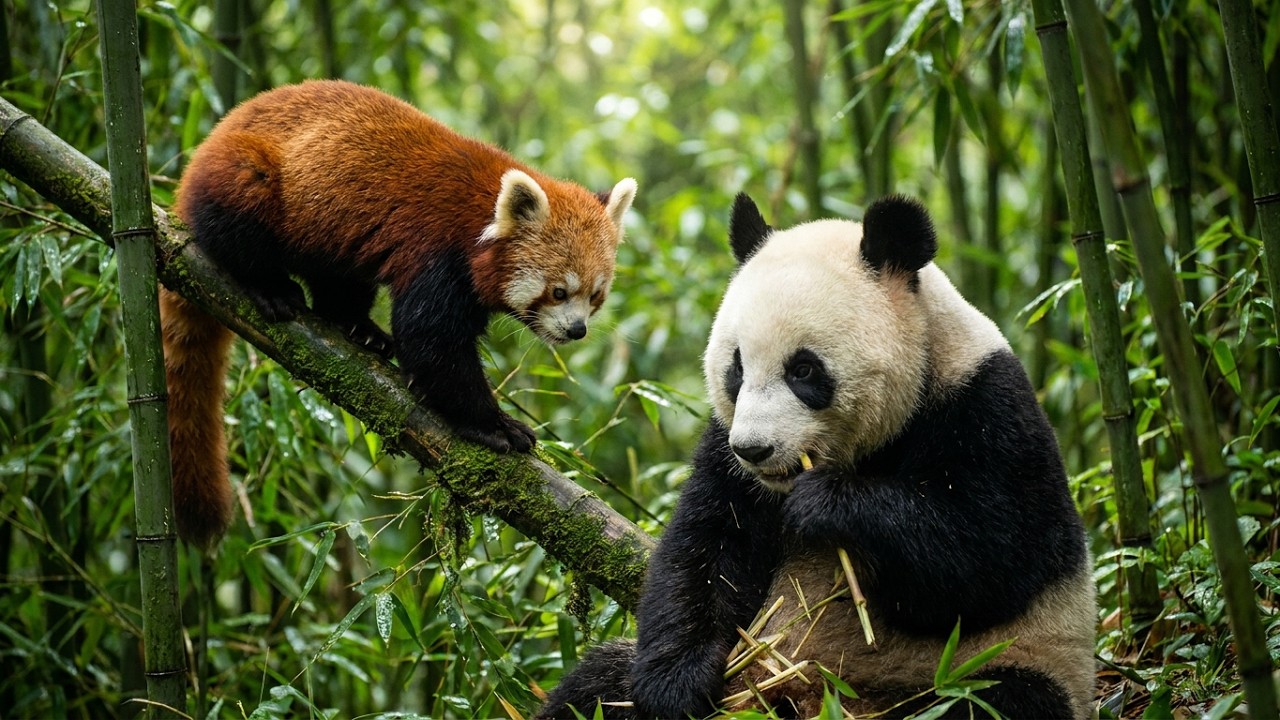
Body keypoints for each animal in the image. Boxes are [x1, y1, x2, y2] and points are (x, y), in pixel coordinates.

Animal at [537, 194, 1096, 719]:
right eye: (736, 368)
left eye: (803, 370)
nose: (754, 449)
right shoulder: (724, 448)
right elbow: (705, 549)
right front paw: (675, 686)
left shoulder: (986, 408)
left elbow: (990, 560)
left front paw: (827, 504)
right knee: (594, 685)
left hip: (996, 667)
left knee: (995, 700)